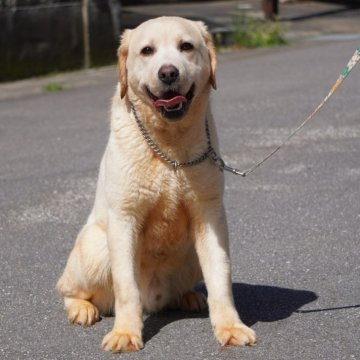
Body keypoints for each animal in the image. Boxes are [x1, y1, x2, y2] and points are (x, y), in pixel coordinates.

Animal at [56, 16, 255, 352]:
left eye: (186, 46)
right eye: (147, 51)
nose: (169, 72)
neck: (169, 149)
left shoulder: (210, 216)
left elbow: (220, 278)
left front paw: (230, 326)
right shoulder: (124, 218)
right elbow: (126, 287)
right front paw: (125, 332)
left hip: (190, 253)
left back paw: (188, 297)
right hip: (96, 246)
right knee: (68, 288)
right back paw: (82, 308)